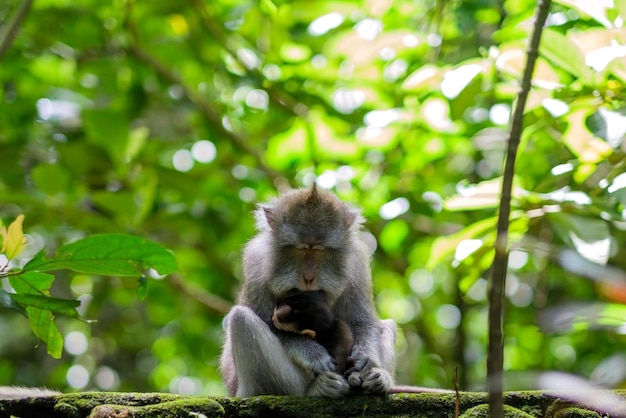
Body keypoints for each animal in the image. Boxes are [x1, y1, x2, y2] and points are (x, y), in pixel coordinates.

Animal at [219, 186, 394, 398]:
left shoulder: (357, 262)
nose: (309, 277)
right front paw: (313, 354)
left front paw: (365, 357)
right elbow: (268, 322)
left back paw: (378, 379)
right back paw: (316, 388)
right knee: (241, 319)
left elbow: (363, 321)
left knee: (387, 325)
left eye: (320, 249)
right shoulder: (256, 262)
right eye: (300, 248)